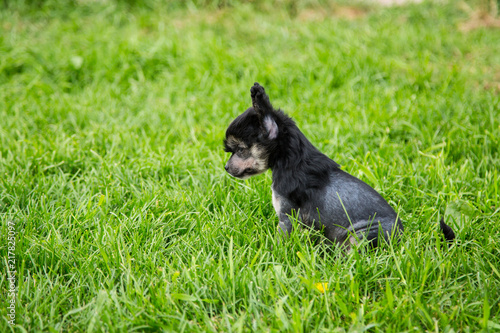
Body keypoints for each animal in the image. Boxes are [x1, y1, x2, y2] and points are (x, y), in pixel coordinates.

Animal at [225, 82, 456, 249]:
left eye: (240, 150)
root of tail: (405, 240)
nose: (226, 168)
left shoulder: (286, 218)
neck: (292, 160)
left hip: (360, 235)